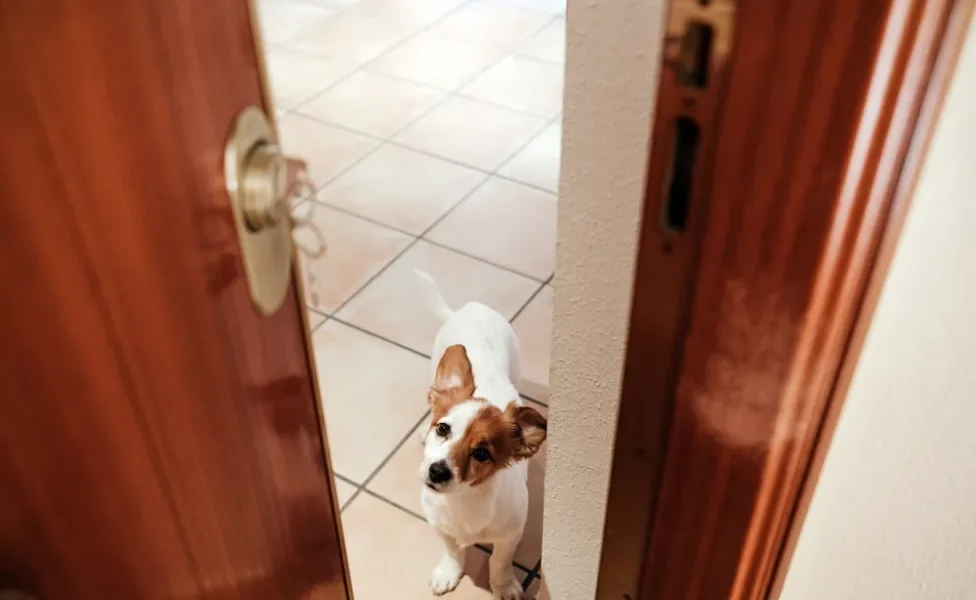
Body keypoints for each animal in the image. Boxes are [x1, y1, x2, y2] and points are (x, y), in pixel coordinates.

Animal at [414, 272, 548, 600]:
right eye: (443, 429)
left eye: (482, 453)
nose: (437, 471)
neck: (463, 499)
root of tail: (471, 308)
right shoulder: (438, 524)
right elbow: (451, 551)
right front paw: (449, 573)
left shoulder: (511, 533)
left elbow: (499, 561)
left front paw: (504, 586)